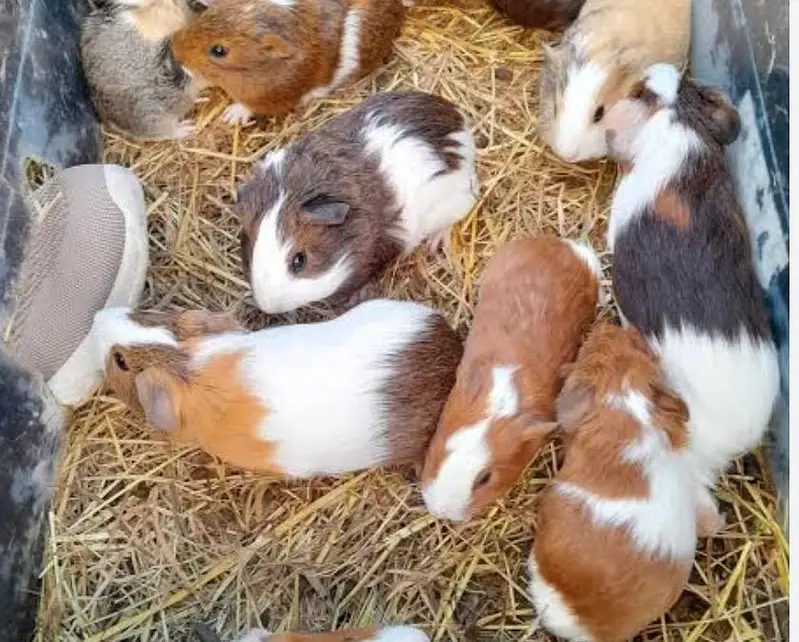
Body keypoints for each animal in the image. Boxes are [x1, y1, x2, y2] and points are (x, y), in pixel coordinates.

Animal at [170, 0, 406, 125]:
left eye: (219, 50)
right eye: (208, 14)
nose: (174, 49)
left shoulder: (268, 98)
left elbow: (248, 106)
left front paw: (229, 117)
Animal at [237, 91, 479, 314]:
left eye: (300, 260)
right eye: (250, 251)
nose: (267, 307)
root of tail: (460, 124)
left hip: (457, 202)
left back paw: (434, 244)